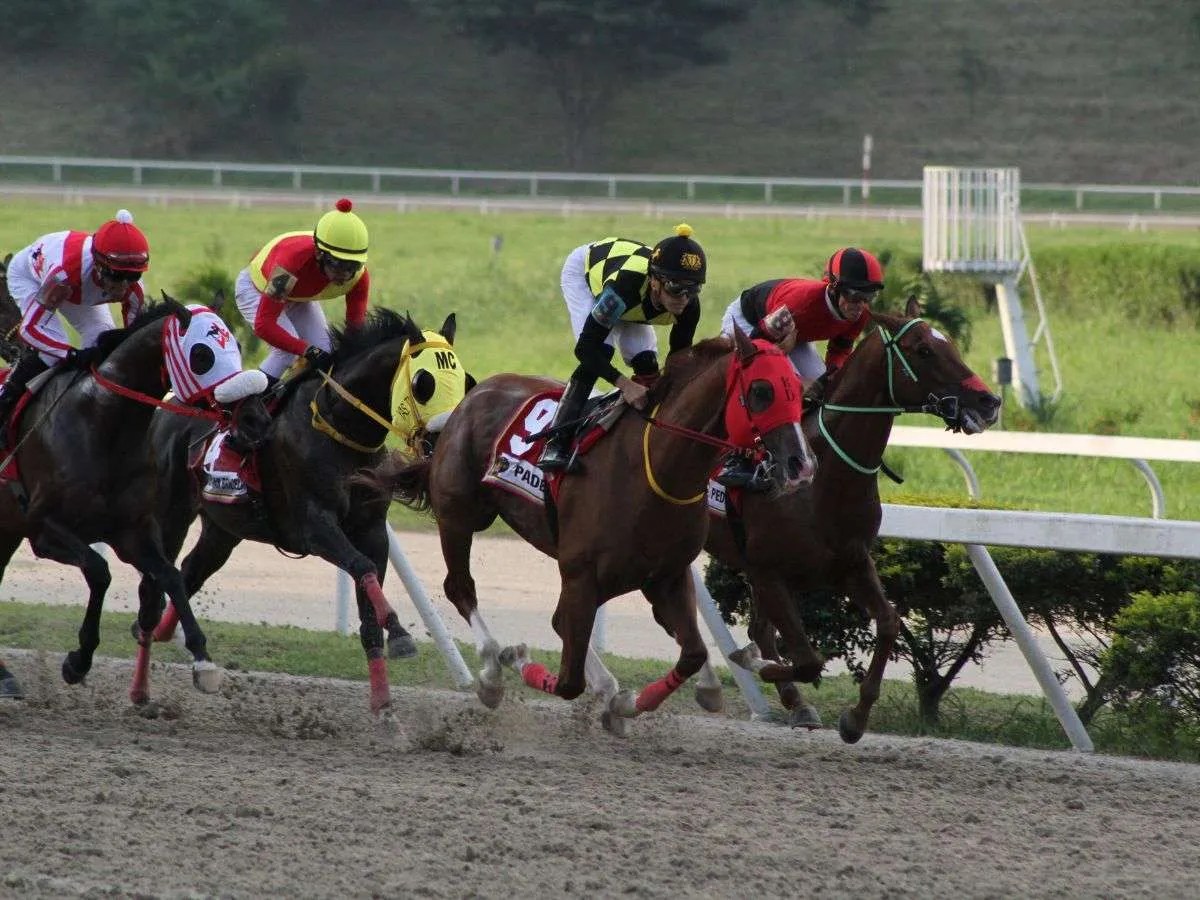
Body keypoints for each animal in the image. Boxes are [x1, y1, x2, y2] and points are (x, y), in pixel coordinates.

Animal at [0, 300, 241, 710]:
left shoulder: (133, 531)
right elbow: (100, 571)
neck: (104, 423)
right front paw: (78, 661)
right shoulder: (44, 529)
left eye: (236, 345)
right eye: (202, 355)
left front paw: (203, 661)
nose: (251, 408)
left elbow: (170, 576)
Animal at [146, 309, 468, 720]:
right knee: (163, 573)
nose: (443, 441)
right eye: (423, 382)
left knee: (190, 571)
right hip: (171, 513)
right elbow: (361, 566)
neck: (339, 431)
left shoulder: (371, 529)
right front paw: (400, 632)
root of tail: (166, 409)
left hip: (224, 529)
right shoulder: (313, 527)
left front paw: (384, 705)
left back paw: (172, 638)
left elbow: (369, 600)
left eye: (465, 380)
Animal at [362, 328, 816, 734]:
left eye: (797, 388)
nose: (802, 464)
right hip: (460, 515)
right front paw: (517, 658)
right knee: (461, 588)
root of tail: (468, 399)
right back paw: (492, 672)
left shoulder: (666, 575)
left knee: (560, 621)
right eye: (761, 391)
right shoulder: (582, 572)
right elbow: (567, 682)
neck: (656, 468)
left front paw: (630, 703)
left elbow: (692, 654)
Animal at [700, 300, 1003, 744]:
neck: (824, 479)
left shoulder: (850, 564)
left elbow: (890, 622)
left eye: (947, 342)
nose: (989, 402)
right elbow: (806, 659)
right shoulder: (769, 571)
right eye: (923, 350)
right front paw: (760, 667)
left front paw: (856, 718)